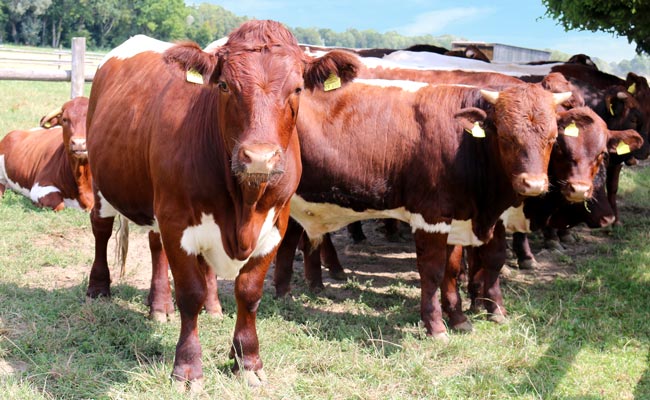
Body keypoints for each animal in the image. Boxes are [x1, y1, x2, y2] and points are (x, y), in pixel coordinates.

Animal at [81, 20, 360, 390]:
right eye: (225, 85)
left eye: (298, 88)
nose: (260, 157)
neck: (243, 204)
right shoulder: (177, 220)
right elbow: (190, 292)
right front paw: (187, 368)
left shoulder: (276, 224)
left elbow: (249, 292)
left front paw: (247, 360)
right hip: (104, 183)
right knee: (101, 229)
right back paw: (99, 289)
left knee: (157, 247)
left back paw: (165, 306)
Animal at [270, 78, 568, 340]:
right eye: (506, 136)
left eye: (553, 138)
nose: (533, 184)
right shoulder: (431, 217)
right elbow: (432, 272)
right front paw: (436, 326)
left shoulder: (457, 218)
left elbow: (452, 271)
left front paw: (459, 319)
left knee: (289, 242)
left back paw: (291, 292)